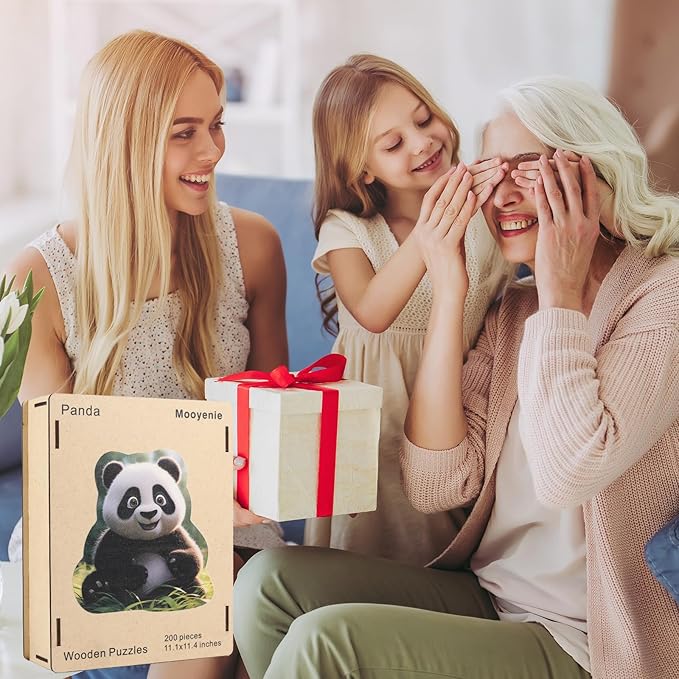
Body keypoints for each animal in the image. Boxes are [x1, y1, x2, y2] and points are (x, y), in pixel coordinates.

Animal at [81, 455, 204, 605]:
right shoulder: (115, 537)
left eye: (160, 499)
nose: (149, 513)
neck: (147, 539)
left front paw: (176, 561)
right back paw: (98, 589)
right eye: (132, 501)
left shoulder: (173, 534)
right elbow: (106, 562)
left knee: (191, 587)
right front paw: (135, 574)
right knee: (100, 585)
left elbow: (194, 554)